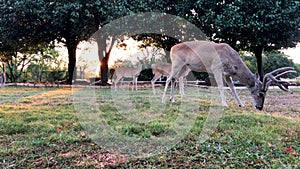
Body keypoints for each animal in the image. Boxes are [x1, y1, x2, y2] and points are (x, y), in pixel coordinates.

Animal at [162, 40, 296, 110]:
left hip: (185, 67)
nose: (259, 107)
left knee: (174, 79)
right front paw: (224, 104)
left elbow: (233, 88)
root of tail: (172, 48)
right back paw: (164, 100)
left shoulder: (228, 74)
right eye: (261, 93)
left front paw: (241, 104)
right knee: (168, 78)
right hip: (177, 64)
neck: (230, 58)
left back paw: (172, 99)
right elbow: (221, 87)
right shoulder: (216, 68)